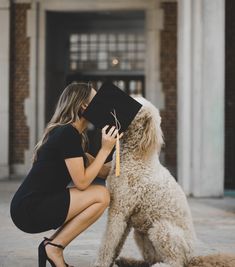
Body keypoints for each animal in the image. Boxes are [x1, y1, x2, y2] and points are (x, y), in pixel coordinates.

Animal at [93, 96, 196, 267]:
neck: (136, 157)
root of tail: (192, 255)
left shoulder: (119, 209)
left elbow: (108, 241)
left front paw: (100, 263)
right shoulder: (126, 217)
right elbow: (116, 243)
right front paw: (111, 261)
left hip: (161, 229)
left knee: (175, 261)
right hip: (141, 233)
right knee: (150, 259)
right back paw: (127, 261)